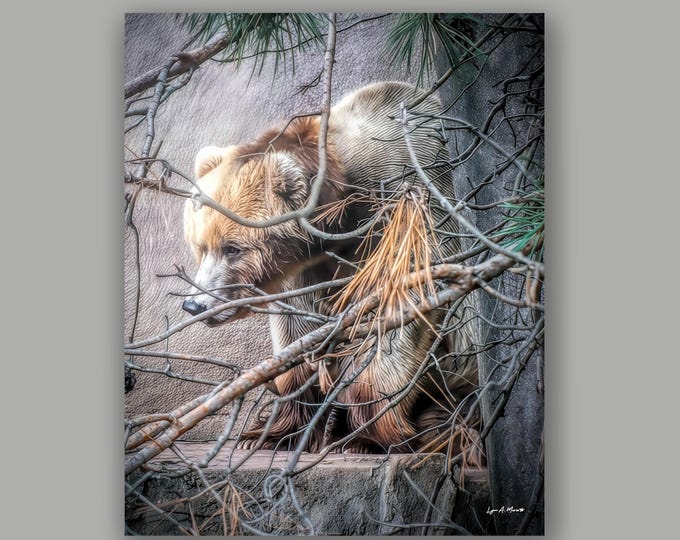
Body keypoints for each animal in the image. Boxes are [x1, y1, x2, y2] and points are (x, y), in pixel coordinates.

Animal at [182, 81, 480, 457]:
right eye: (200, 246)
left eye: (233, 248)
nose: (194, 304)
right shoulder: (303, 269)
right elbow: (296, 326)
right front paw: (279, 430)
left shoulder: (405, 204)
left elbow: (397, 310)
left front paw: (366, 436)